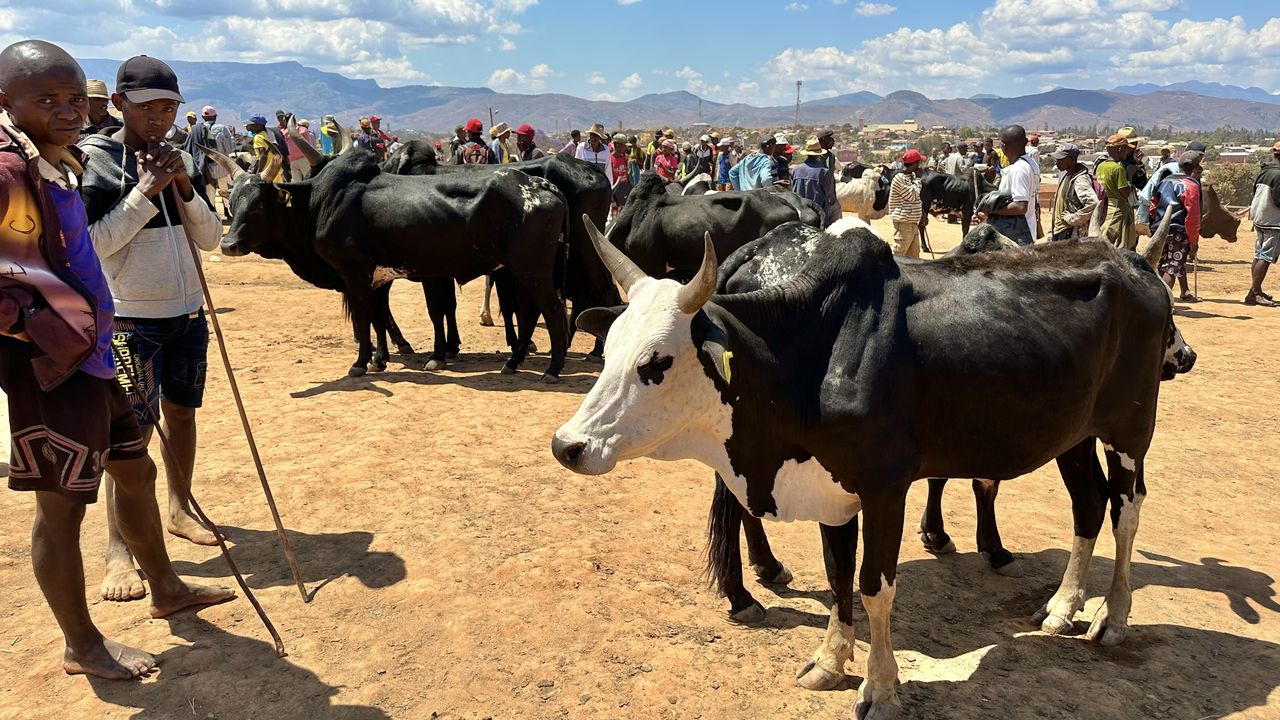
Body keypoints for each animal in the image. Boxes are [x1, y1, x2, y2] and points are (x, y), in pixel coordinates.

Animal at [555, 210, 1192, 712]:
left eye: (655, 363)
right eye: (608, 351)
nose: (568, 445)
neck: (815, 353)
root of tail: (1133, 264)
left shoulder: (886, 486)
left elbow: (874, 585)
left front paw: (880, 689)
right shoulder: (832, 488)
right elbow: (839, 576)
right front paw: (830, 662)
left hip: (1130, 432)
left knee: (1126, 513)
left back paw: (1112, 619)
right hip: (1074, 437)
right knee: (1088, 507)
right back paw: (1062, 607)